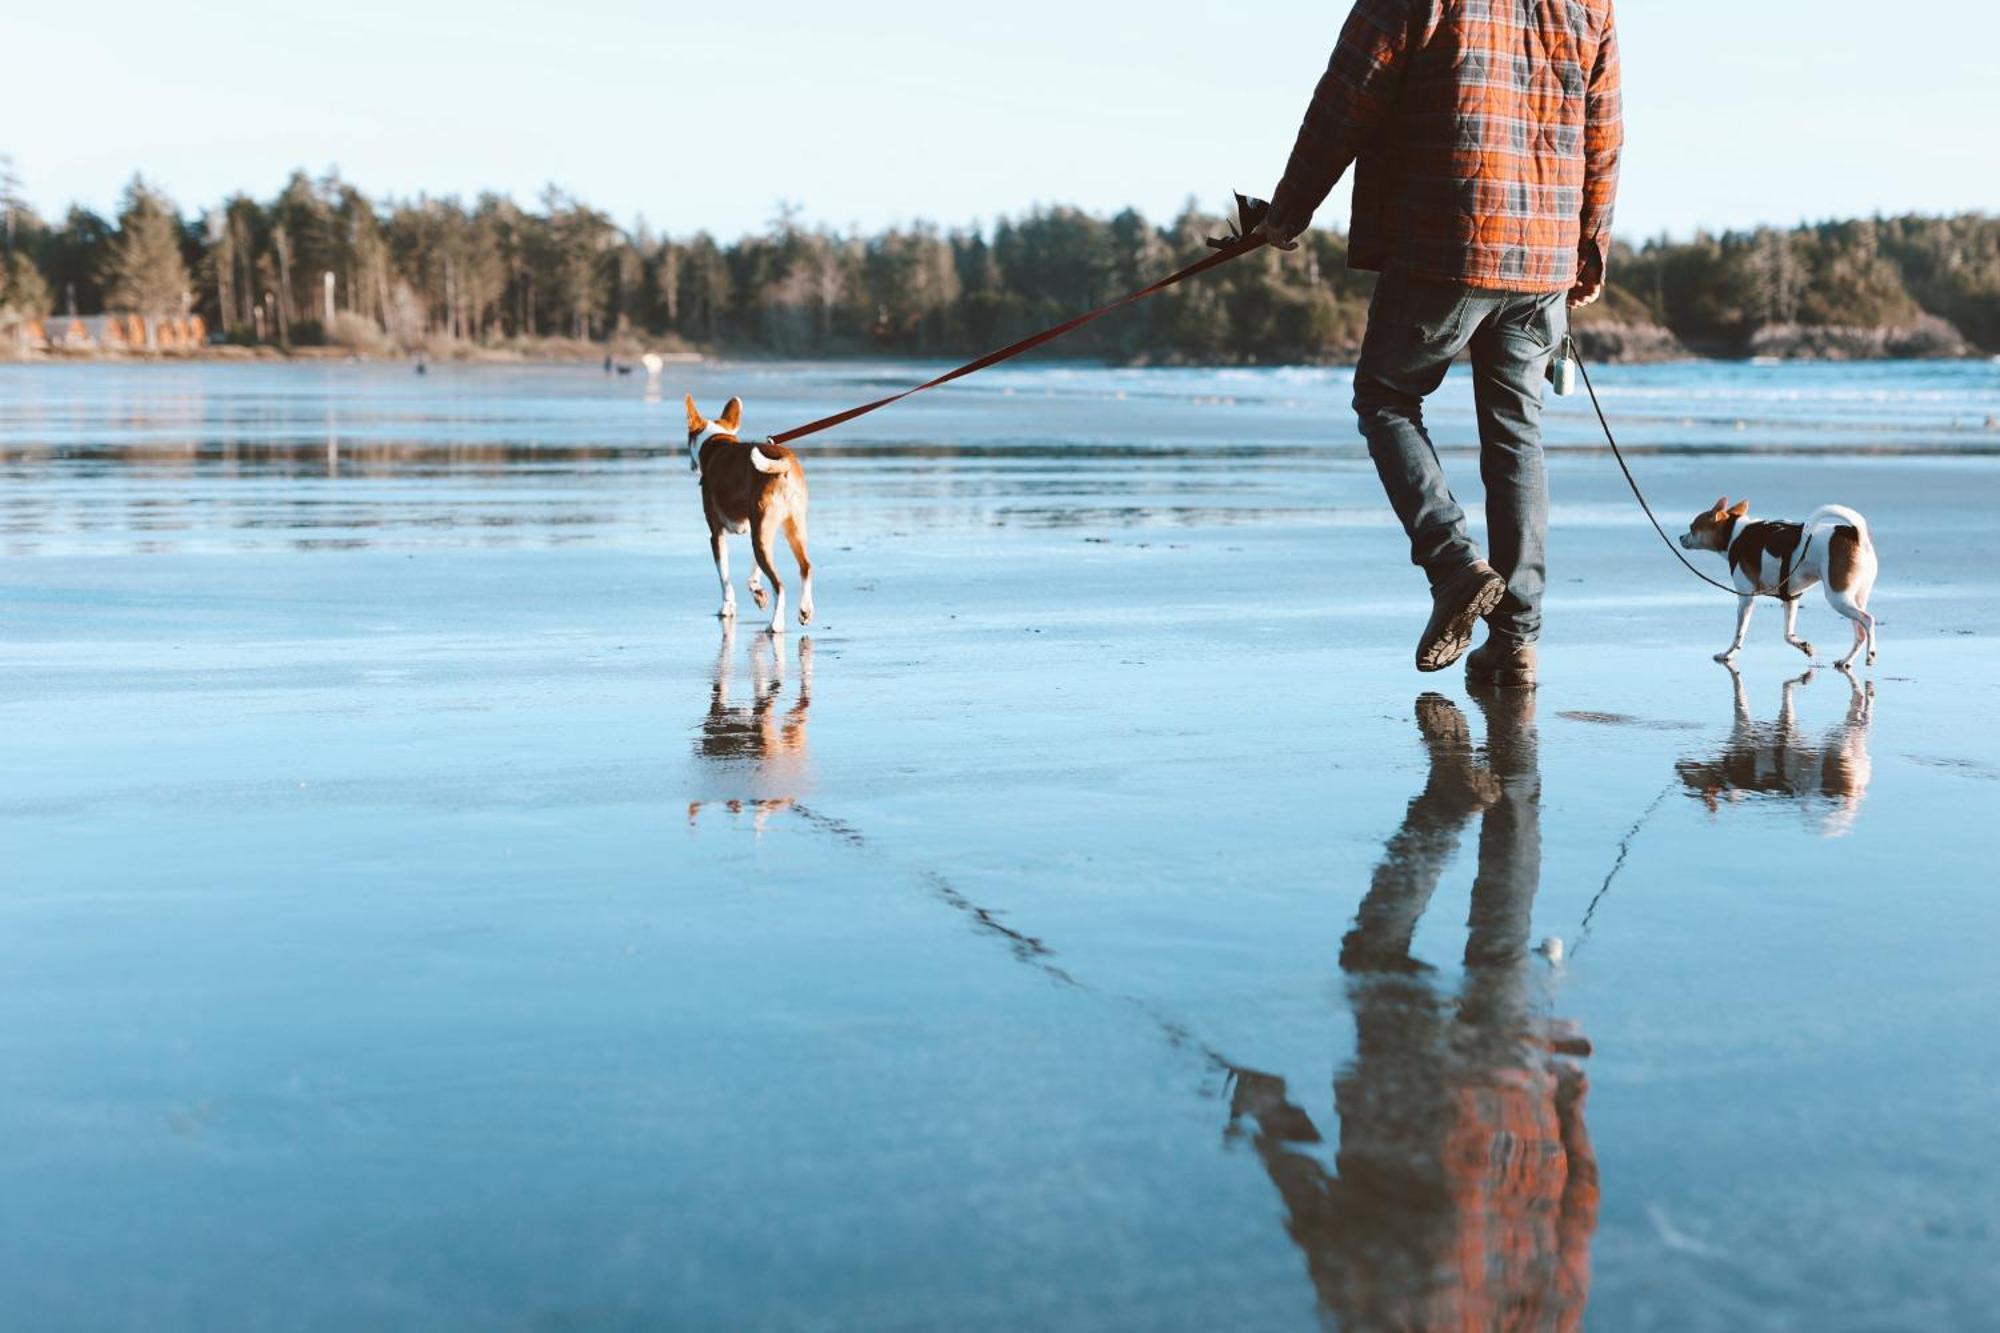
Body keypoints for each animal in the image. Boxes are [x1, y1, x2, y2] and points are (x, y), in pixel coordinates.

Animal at [688, 392, 812, 632]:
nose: (691, 465)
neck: (717, 442)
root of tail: (784, 465)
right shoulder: (757, 526)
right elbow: (754, 572)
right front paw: (757, 591)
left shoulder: (716, 535)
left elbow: (724, 578)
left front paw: (727, 608)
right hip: (788, 528)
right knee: (806, 567)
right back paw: (805, 609)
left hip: (763, 533)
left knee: (779, 585)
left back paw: (776, 624)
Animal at [1680, 496, 1880, 668]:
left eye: (1692, 527)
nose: (1680, 537)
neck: (1734, 535)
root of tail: (1855, 534)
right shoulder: (1790, 598)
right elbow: (1788, 635)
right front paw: (1804, 646)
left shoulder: (1746, 599)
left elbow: (1738, 634)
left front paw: (1728, 654)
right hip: (1855, 598)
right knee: (1860, 633)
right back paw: (1846, 661)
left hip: (1838, 597)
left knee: (1868, 620)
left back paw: (1870, 655)